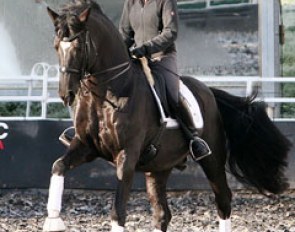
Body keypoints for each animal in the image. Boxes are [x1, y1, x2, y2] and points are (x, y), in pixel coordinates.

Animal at [42, 0, 292, 231]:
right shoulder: (85, 146)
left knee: (223, 200)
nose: (66, 94)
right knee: (162, 214)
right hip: (159, 167)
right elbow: (57, 166)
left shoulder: (127, 156)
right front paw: (53, 220)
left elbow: (118, 212)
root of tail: (209, 91)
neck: (107, 93)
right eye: (55, 46)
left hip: (212, 158)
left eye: (78, 47)